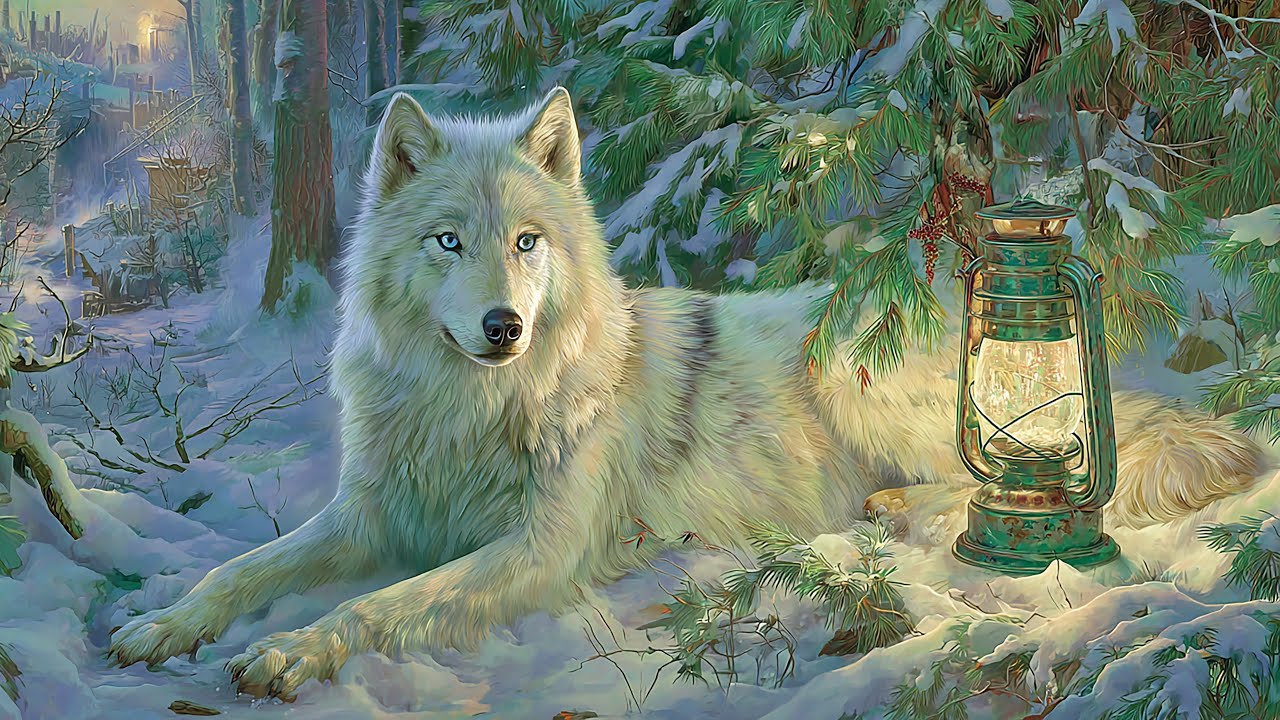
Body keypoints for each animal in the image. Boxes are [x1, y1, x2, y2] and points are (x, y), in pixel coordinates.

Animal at [108, 87, 1269, 699]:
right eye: (449, 242)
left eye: (526, 243)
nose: (504, 326)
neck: (472, 410)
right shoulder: (371, 516)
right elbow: (246, 569)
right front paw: (166, 627)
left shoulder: (540, 551)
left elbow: (381, 605)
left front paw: (287, 650)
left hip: (878, 380)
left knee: (1015, 484)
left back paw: (899, 509)